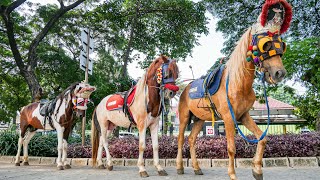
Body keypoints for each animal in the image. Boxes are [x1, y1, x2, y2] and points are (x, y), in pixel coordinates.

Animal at [176, 0, 292, 179]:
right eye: (265, 44)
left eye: (282, 45)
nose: (279, 73)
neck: (238, 83)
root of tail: (185, 89)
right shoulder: (229, 118)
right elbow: (231, 148)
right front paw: (232, 174)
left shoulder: (243, 116)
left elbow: (262, 138)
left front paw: (257, 169)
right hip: (184, 118)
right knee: (181, 139)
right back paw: (180, 166)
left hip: (199, 119)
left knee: (192, 139)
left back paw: (196, 168)